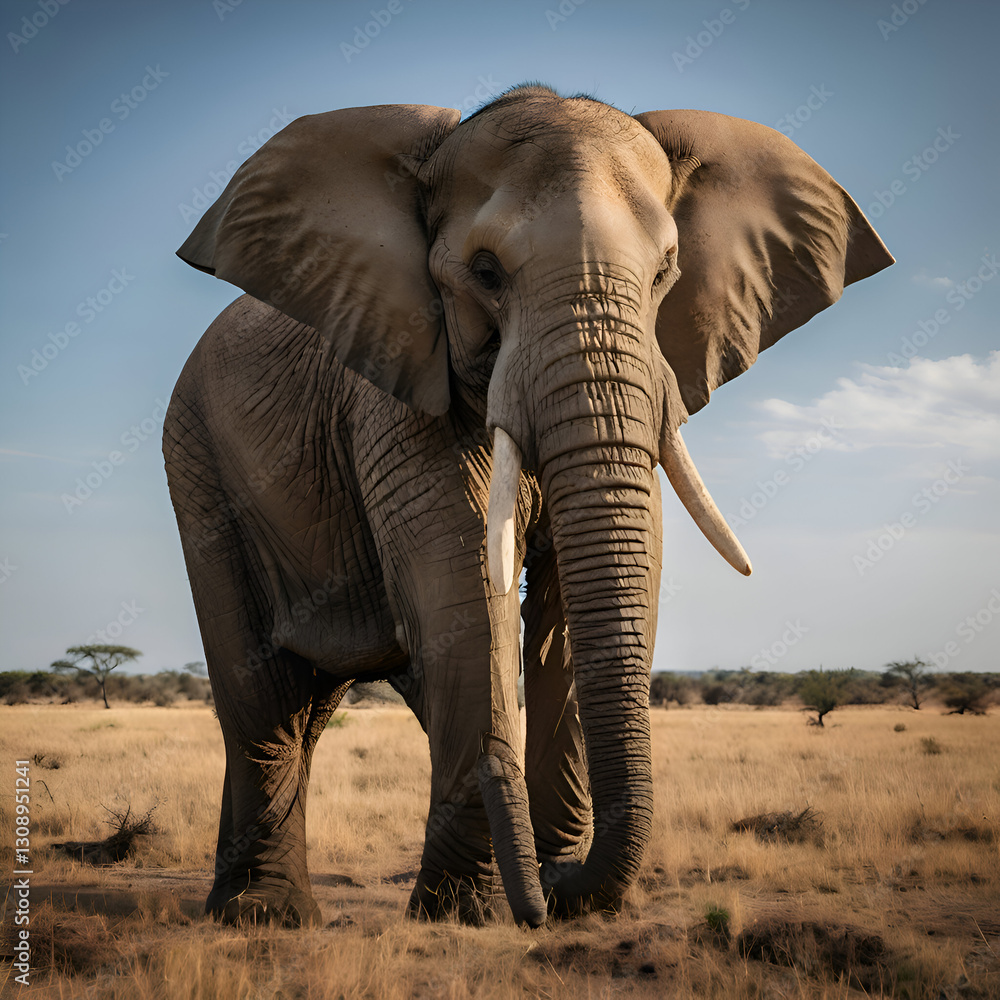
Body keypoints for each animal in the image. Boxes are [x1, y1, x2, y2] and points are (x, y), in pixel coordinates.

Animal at [164, 84, 892, 928]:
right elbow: (457, 591)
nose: (553, 892)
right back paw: (262, 916)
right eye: (484, 271)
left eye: (666, 271)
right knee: (264, 697)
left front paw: (545, 889)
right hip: (197, 461)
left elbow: (579, 601)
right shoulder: (395, 383)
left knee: (311, 710)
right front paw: (463, 914)